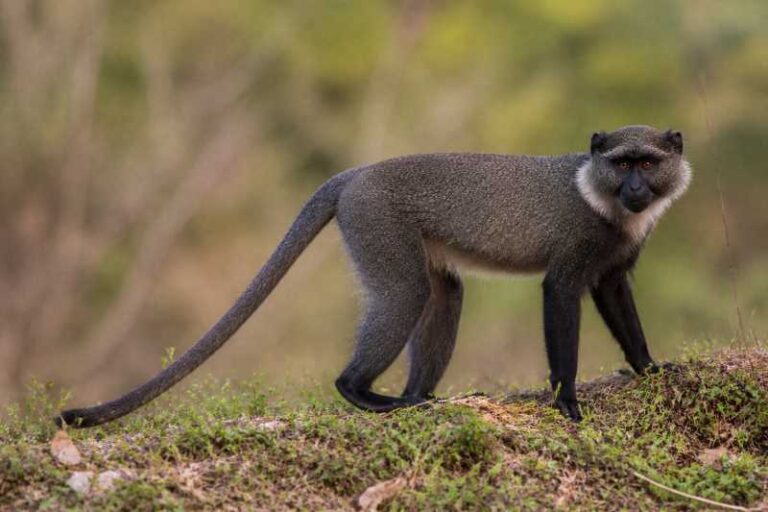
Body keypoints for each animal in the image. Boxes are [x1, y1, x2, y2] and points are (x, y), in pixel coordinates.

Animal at [57, 125, 691, 427]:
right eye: (621, 164)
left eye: (648, 162)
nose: (636, 188)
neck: (600, 195)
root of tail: (355, 176)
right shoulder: (573, 250)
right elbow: (560, 293)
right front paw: (567, 402)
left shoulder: (617, 257)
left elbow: (613, 292)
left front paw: (648, 367)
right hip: (374, 222)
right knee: (406, 295)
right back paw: (365, 393)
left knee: (444, 294)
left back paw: (418, 397)